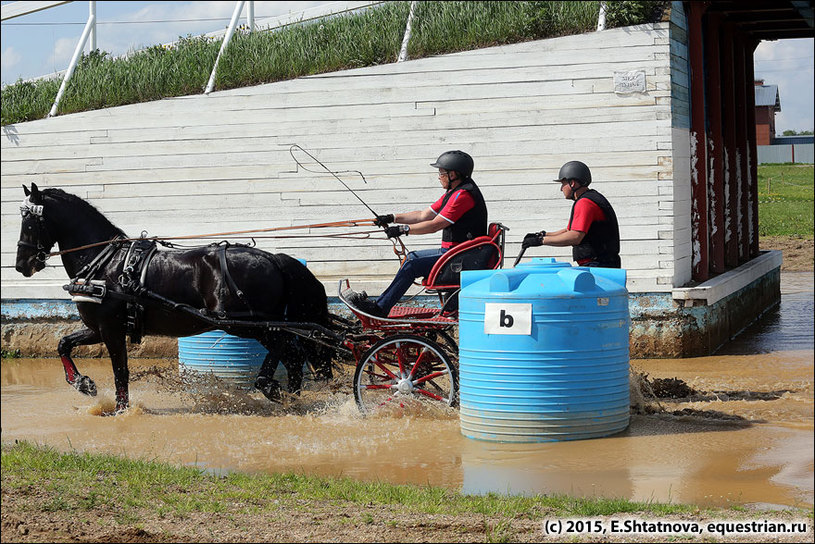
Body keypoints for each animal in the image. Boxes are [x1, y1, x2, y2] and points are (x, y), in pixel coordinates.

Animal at [15, 185, 334, 414]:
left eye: (29, 223)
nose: (21, 265)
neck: (105, 263)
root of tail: (273, 258)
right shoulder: (99, 328)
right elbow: (63, 344)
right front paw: (83, 384)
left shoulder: (111, 330)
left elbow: (121, 372)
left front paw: (120, 410)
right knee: (294, 357)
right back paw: (291, 399)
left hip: (250, 324)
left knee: (289, 350)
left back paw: (270, 386)